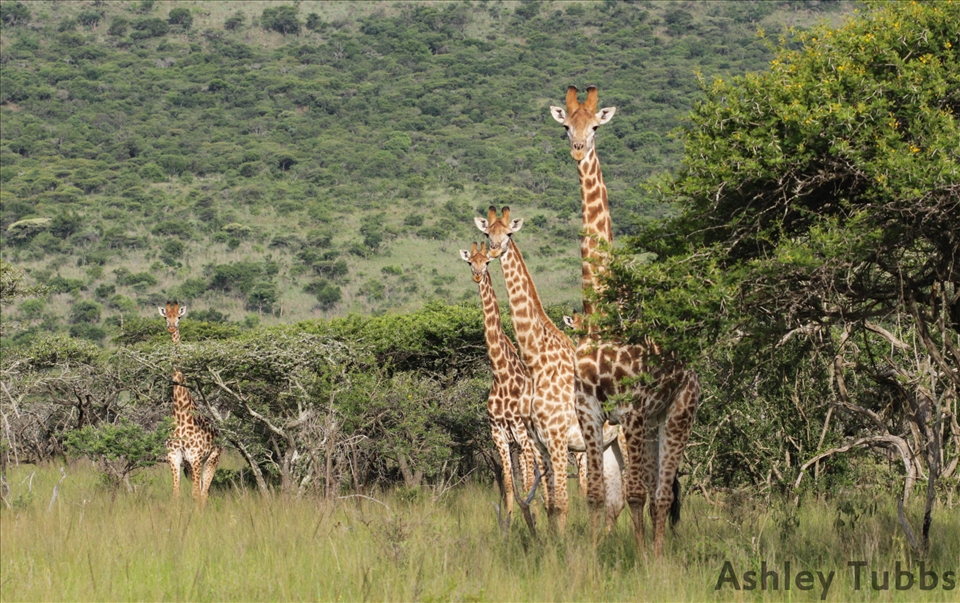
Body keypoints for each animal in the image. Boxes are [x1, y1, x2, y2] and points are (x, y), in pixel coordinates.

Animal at [158, 302, 222, 506]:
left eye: (179, 317)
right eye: (165, 316)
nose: (171, 327)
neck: (180, 411)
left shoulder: (195, 458)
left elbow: (195, 494)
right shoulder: (174, 457)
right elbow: (175, 494)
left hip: (211, 460)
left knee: (203, 493)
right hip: (190, 466)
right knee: (201, 490)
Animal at [459, 242, 541, 523]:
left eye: (487, 262)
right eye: (470, 262)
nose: (476, 275)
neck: (500, 375)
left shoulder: (522, 434)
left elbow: (526, 484)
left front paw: (531, 520)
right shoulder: (499, 436)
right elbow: (507, 484)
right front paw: (510, 522)